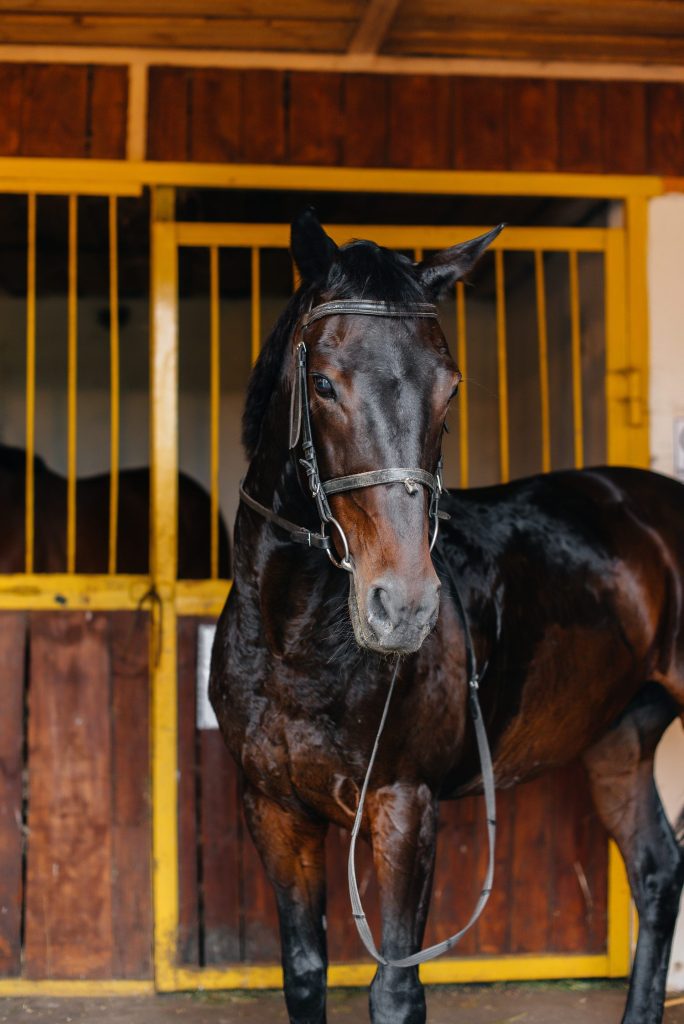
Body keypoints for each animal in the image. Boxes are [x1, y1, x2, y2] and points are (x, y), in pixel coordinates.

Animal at [209, 209, 684, 1024]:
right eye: (324, 383)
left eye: (450, 389)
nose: (402, 606)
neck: (295, 643)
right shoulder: (273, 810)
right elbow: (303, 971)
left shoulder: (404, 807)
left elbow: (396, 990)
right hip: (619, 739)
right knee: (656, 872)